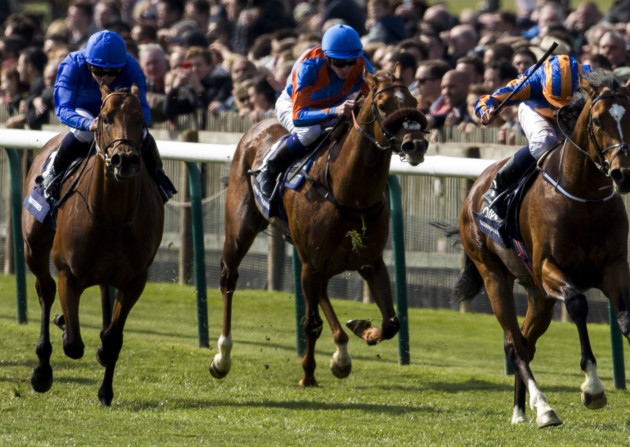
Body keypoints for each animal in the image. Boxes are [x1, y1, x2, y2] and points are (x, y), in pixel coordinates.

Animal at [23, 83, 164, 406]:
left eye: (140, 119)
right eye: (105, 118)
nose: (125, 160)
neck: (112, 216)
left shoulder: (135, 280)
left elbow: (112, 338)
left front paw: (105, 389)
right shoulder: (69, 274)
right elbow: (74, 344)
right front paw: (63, 329)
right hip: (34, 247)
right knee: (45, 290)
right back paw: (42, 369)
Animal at [211, 68, 430, 386]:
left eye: (413, 101)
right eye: (383, 105)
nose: (416, 144)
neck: (347, 193)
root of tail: (257, 128)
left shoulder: (370, 262)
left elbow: (391, 322)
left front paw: (362, 330)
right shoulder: (312, 263)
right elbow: (311, 323)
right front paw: (308, 375)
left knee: (323, 292)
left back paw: (342, 352)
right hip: (242, 230)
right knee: (229, 278)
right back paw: (222, 357)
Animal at [456, 71, 630, 428]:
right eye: (596, 120)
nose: (622, 173)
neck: (584, 198)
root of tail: (474, 189)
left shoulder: (615, 266)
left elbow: (626, 320)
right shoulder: (549, 267)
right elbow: (577, 304)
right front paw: (592, 388)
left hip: (539, 295)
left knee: (526, 341)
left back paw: (521, 410)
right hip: (494, 275)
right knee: (514, 345)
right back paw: (544, 408)